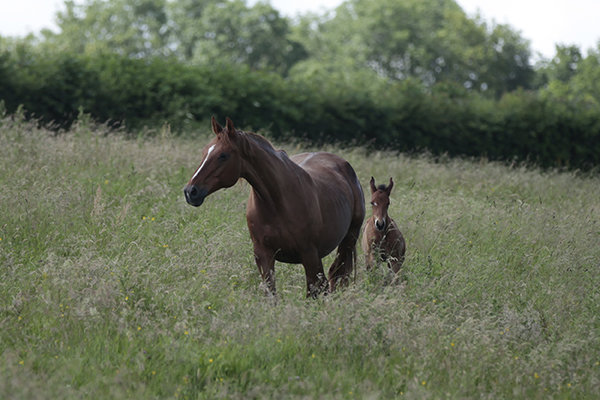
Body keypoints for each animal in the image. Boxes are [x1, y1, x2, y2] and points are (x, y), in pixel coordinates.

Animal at [182, 116, 366, 296]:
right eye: (205, 152)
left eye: (223, 156)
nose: (190, 191)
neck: (277, 203)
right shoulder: (263, 255)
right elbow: (271, 293)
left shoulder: (310, 255)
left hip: (348, 241)